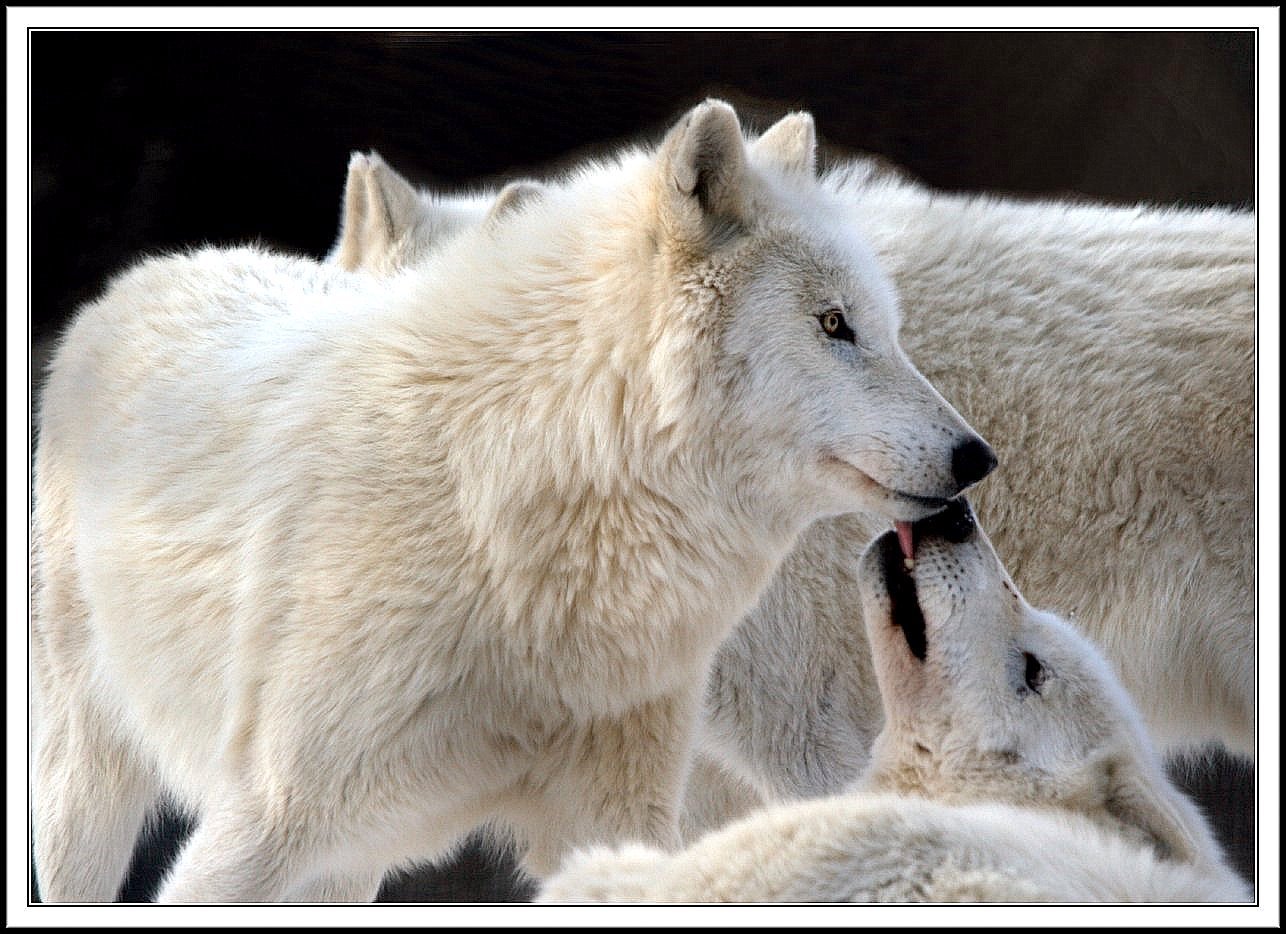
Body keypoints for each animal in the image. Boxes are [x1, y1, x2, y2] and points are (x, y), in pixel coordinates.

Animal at [29, 100, 994, 902]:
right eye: (833, 325)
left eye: (889, 329)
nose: (978, 458)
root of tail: (158, 268)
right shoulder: (263, 821)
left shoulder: (614, 820)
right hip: (91, 789)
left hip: (349, 862)